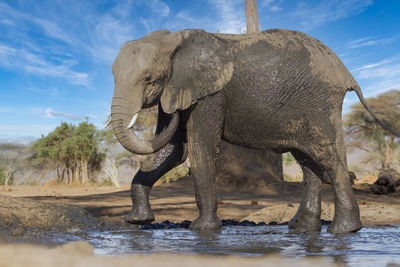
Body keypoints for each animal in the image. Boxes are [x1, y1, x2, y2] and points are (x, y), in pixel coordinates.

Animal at [110, 28, 400, 234]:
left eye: (149, 79)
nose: (172, 114)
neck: (174, 39)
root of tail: (346, 73)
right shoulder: (180, 89)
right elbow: (174, 151)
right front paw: (137, 221)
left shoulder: (211, 94)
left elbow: (200, 146)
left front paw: (202, 229)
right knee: (308, 161)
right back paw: (301, 229)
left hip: (320, 103)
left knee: (328, 155)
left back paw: (343, 231)